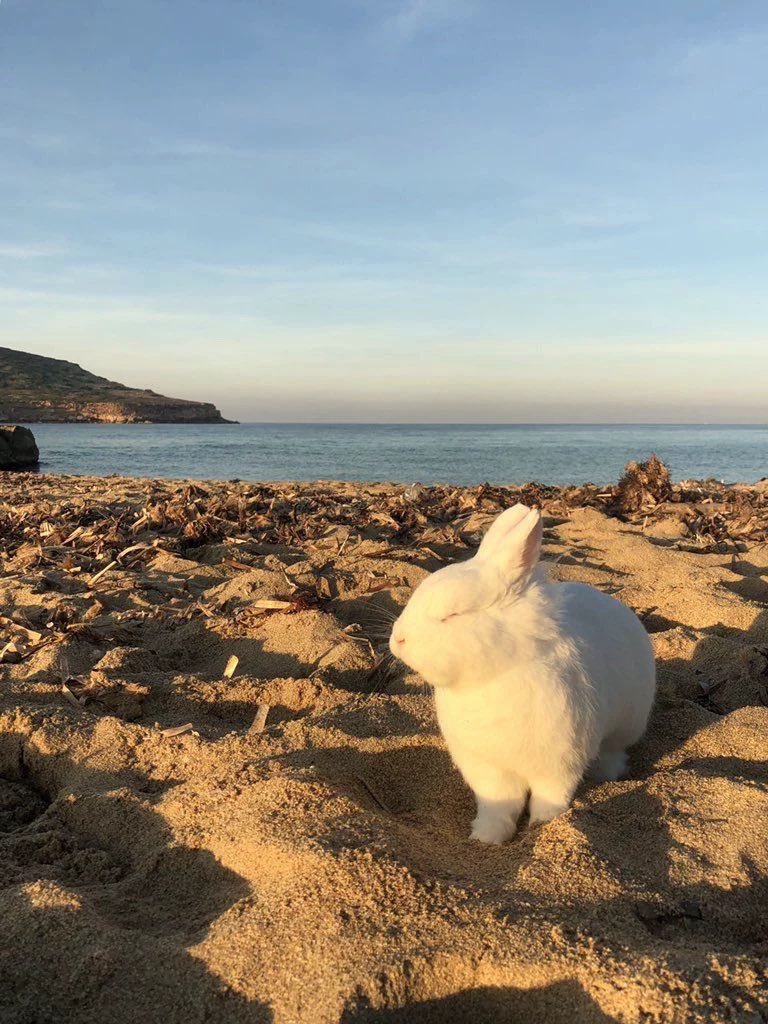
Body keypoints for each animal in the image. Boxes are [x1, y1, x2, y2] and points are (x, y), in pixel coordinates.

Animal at [389, 504, 655, 844]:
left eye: (452, 615)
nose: (397, 640)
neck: (496, 674)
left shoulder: (559, 763)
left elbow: (550, 797)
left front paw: (543, 826)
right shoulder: (488, 769)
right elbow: (499, 804)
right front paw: (487, 837)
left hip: (625, 725)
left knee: (614, 752)